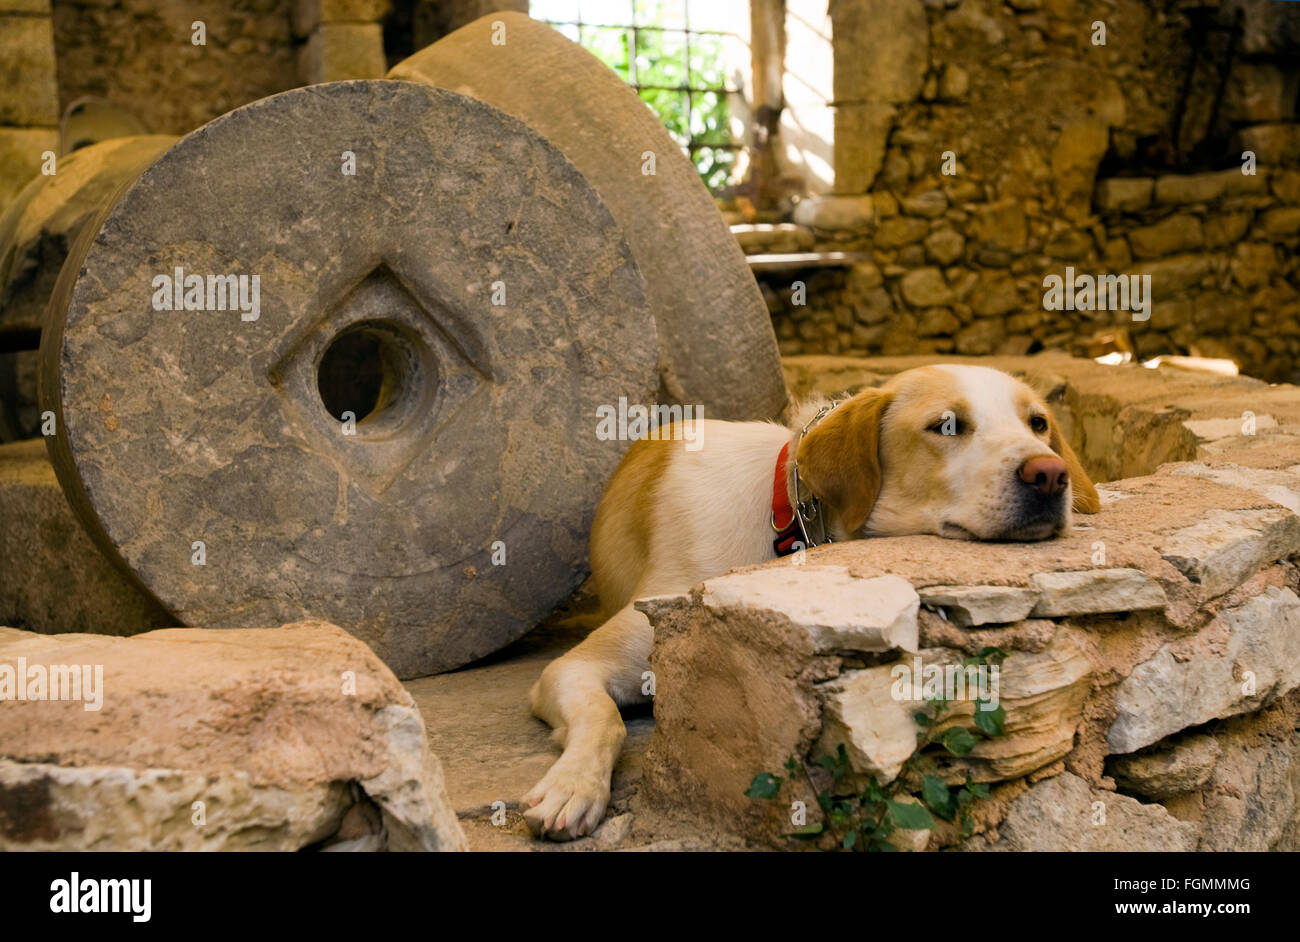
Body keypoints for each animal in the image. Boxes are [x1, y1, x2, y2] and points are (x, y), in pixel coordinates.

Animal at [517, 361, 1097, 836]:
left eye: (1038, 423)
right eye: (947, 426)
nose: (1051, 475)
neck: (784, 514)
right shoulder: (572, 668)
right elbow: (603, 717)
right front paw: (573, 785)